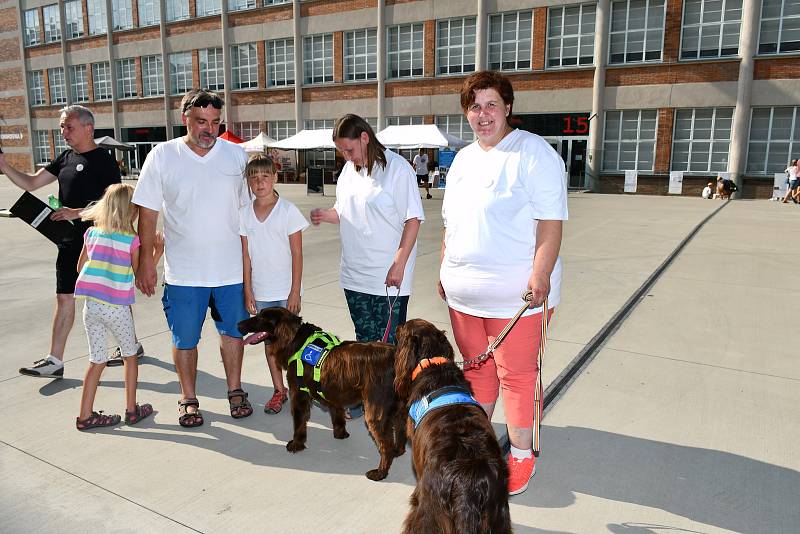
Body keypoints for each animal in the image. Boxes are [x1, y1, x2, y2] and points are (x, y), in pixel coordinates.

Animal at [234, 308, 404, 484]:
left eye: (262, 317)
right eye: (258, 314)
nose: (238, 324)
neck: (296, 340)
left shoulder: (299, 394)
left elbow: (299, 424)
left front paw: (296, 444)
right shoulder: (333, 393)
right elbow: (337, 417)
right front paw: (340, 435)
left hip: (375, 413)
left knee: (386, 446)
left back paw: (380, 472)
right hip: (400, 410)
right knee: (400, 435)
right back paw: (397, 452)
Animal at [394, 320, 512, 532]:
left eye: (403, 328)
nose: (396, 327)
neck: (431, 363)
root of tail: (469, 484)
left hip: (430, 513)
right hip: (499, 515)